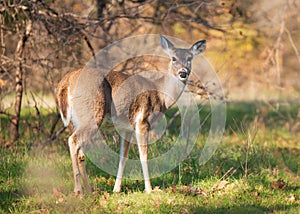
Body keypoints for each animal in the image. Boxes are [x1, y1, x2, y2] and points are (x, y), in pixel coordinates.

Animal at [55, 34, 206, 195]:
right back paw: (78, 192)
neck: (161, 95)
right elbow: (143, 155)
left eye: (190, 58)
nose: (183, 73)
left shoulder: (125, 128)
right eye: (173, 58)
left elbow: (123, 156)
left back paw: (90, 191)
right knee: (73, 141)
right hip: (92, 114)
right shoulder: (142, 121)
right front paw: (149, 190)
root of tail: (66, 82)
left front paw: (116, 189)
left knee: (80, 151)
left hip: (76, 120)